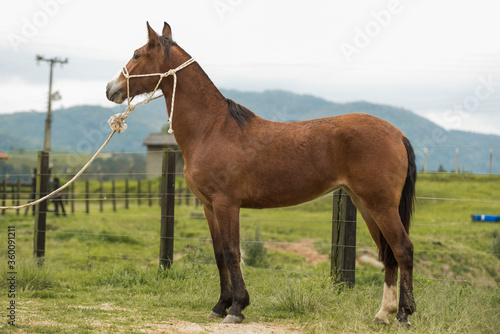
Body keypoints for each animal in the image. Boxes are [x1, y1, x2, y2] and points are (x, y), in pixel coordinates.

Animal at [106, 22, 418, 324]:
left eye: (137, 55)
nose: (111, 88)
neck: (211, 129)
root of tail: (398, 134)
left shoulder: (226, 204)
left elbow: (232, 252)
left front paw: (236, 308)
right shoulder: (209, 207)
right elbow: (219, 254)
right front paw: (220, 305)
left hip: (380, 205)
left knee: (403, 249)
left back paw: (403, 314)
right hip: (365, 204)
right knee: (388, 254)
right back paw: (383, 314)